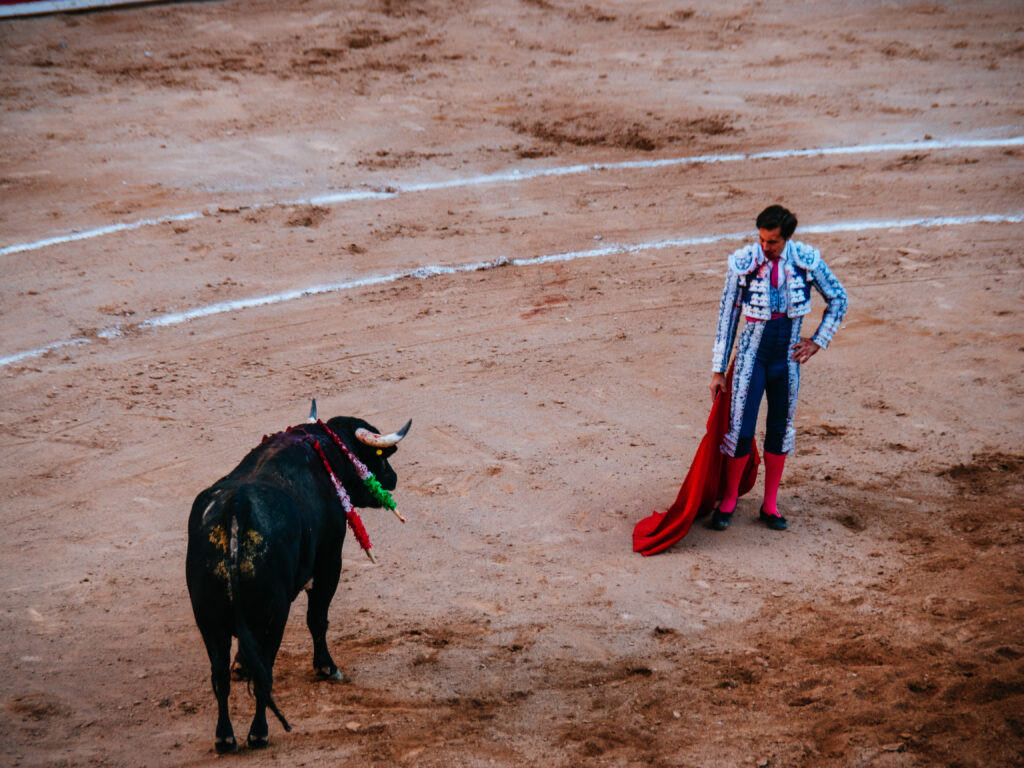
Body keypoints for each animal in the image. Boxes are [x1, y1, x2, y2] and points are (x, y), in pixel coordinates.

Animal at [186, 405, 409, 753]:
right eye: (376, 457)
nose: (392, 477)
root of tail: (236, 509)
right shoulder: (330, 559)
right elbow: (317, 618)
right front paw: (327, 667)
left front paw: (242, 665)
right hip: (273, 614)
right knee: (265, 672)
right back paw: (259, 733)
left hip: (208, 621)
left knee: (219, 675)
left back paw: (225, 738)